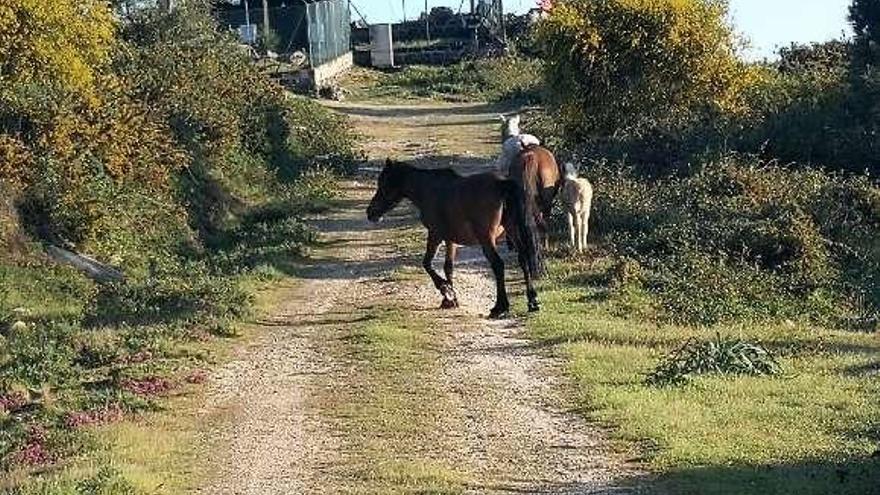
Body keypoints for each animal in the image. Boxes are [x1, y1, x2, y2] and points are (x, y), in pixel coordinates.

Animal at [366, 161, 544, 320]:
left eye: (383, 184)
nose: (370, 212)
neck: (429, 190)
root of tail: (502, 183)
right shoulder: (450, 239)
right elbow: (448, 267)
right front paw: (450, 300)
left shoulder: (435, 235)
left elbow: (427, 264)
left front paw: (445, 289)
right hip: (512, 231)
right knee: (523, 259)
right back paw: (532, 302)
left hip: (487, 238)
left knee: (498, 265)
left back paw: (499, 307)